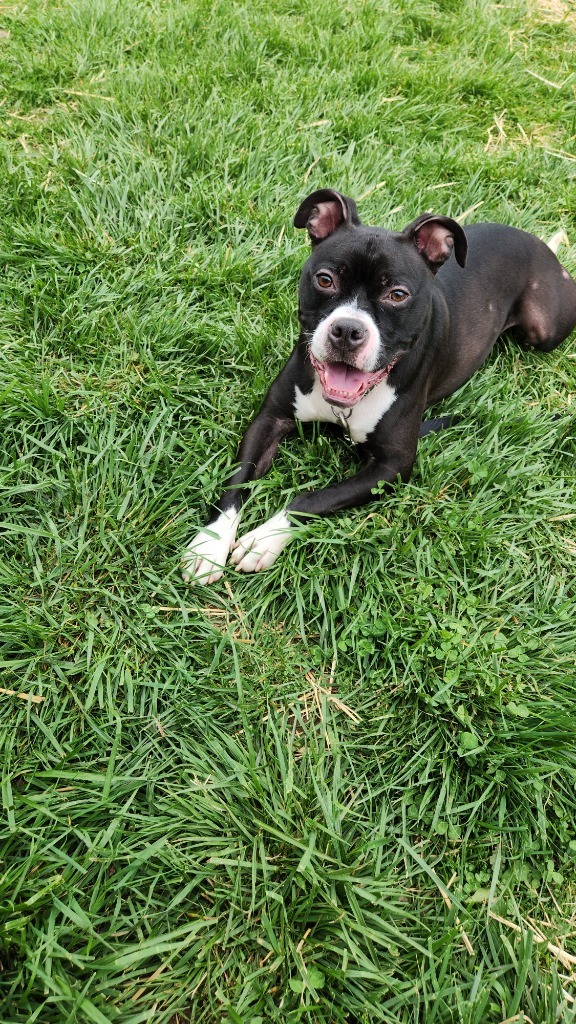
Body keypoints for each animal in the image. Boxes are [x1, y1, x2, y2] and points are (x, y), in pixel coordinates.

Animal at [181, 187, 573, 581]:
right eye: (325, 280)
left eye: (397, 295)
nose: (347, 330)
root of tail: (540, 246)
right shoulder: (270, 419)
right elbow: (237, 480)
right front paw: (210, 545)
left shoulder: (391, 467)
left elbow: (311, 498)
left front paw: (263, 539)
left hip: (545, 331)